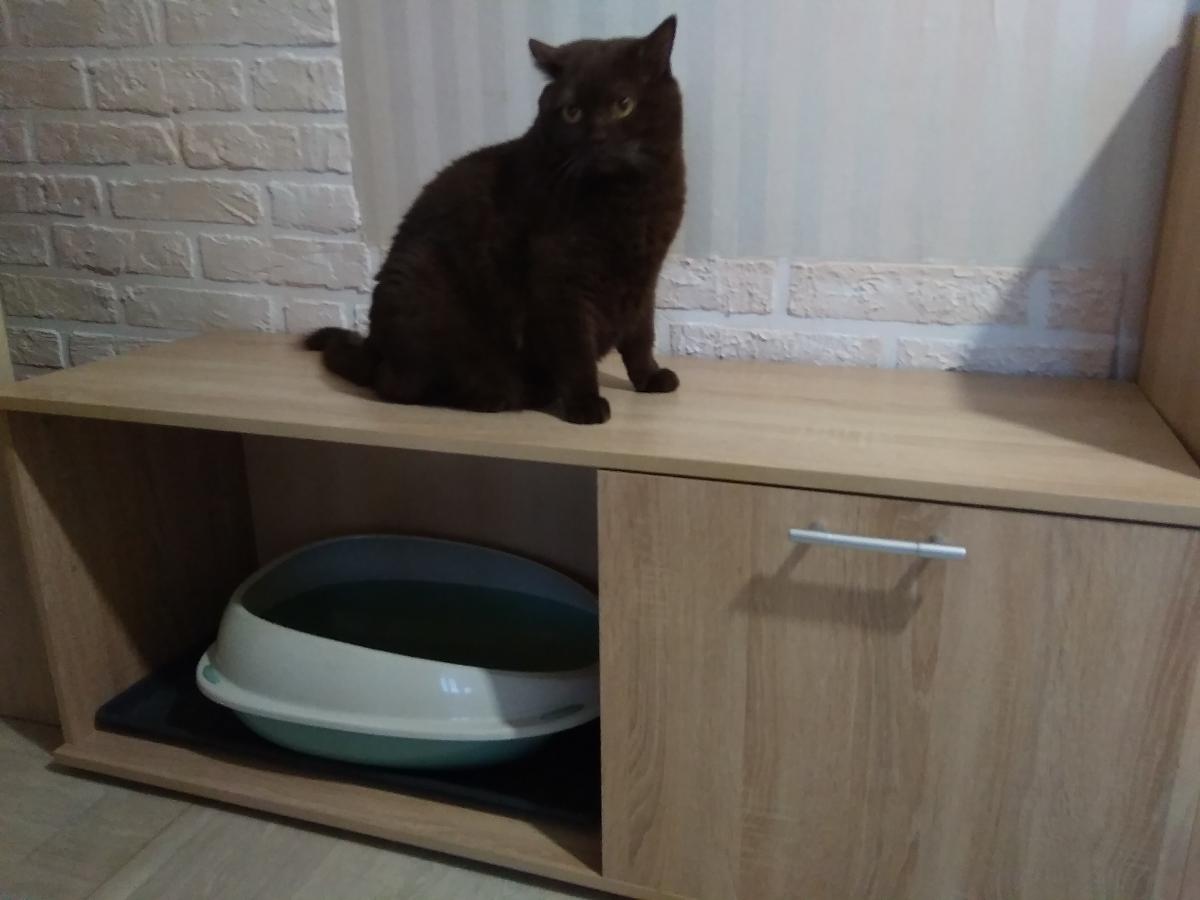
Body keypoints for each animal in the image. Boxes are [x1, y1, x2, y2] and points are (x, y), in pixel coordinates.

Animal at [305, 15, 685, 425]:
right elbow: (576, 347)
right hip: (422, 295)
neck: (628, 198)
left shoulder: (643, 277)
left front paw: (649, 377)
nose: (597, 137)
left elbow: (641, 336)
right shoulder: (562, 281)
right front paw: (585, 404)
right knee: (396, 386)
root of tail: (374, 348)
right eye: (572, 112)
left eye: (623, 104)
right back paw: (502, 393)